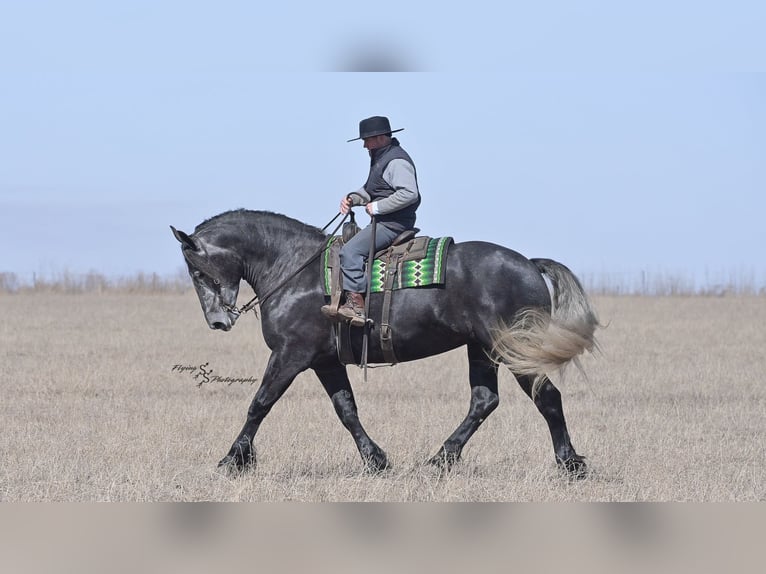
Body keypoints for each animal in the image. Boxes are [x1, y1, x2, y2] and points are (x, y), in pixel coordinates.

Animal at [171, 209, 600, 476]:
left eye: (197, 270)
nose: (217, 321)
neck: (294, 270)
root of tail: (528, 264)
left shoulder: (291, 355)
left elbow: (259, 404)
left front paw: (232, 459)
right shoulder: (325, 362)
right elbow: (346, 410)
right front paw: (375, 460)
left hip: (512, 349)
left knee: (547, 397)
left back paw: (569, 463)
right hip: (482, 350)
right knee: (484, 401)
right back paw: (441, 458)